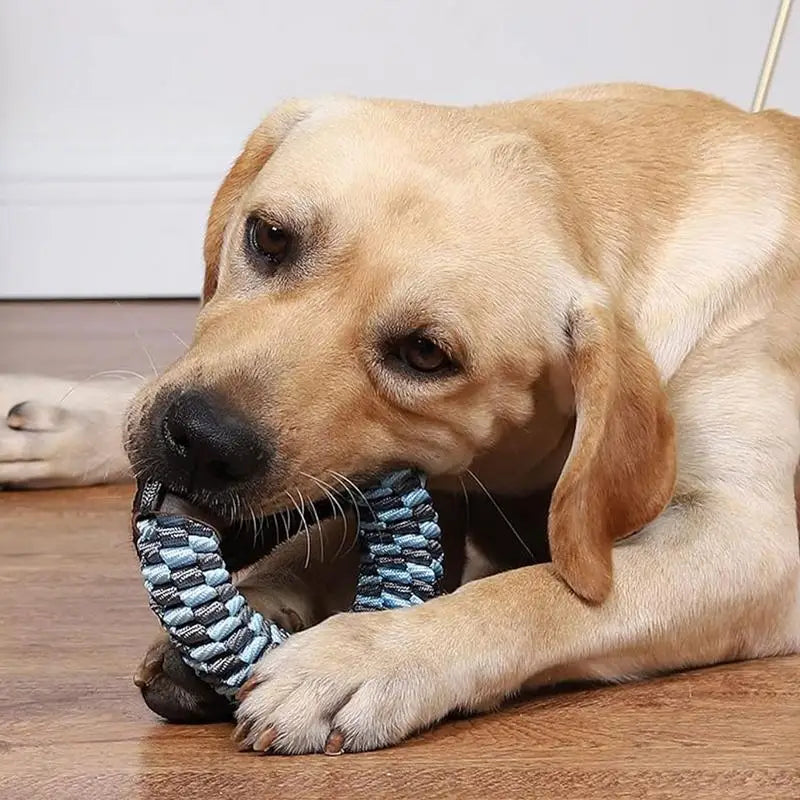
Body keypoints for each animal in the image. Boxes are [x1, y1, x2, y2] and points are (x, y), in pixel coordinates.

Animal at [1, 83, 800, 756]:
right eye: (268, 236)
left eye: (426, 354)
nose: (200, 441)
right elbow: (329, 535)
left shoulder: (749, 545)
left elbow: (536, 591)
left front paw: (365, 655)